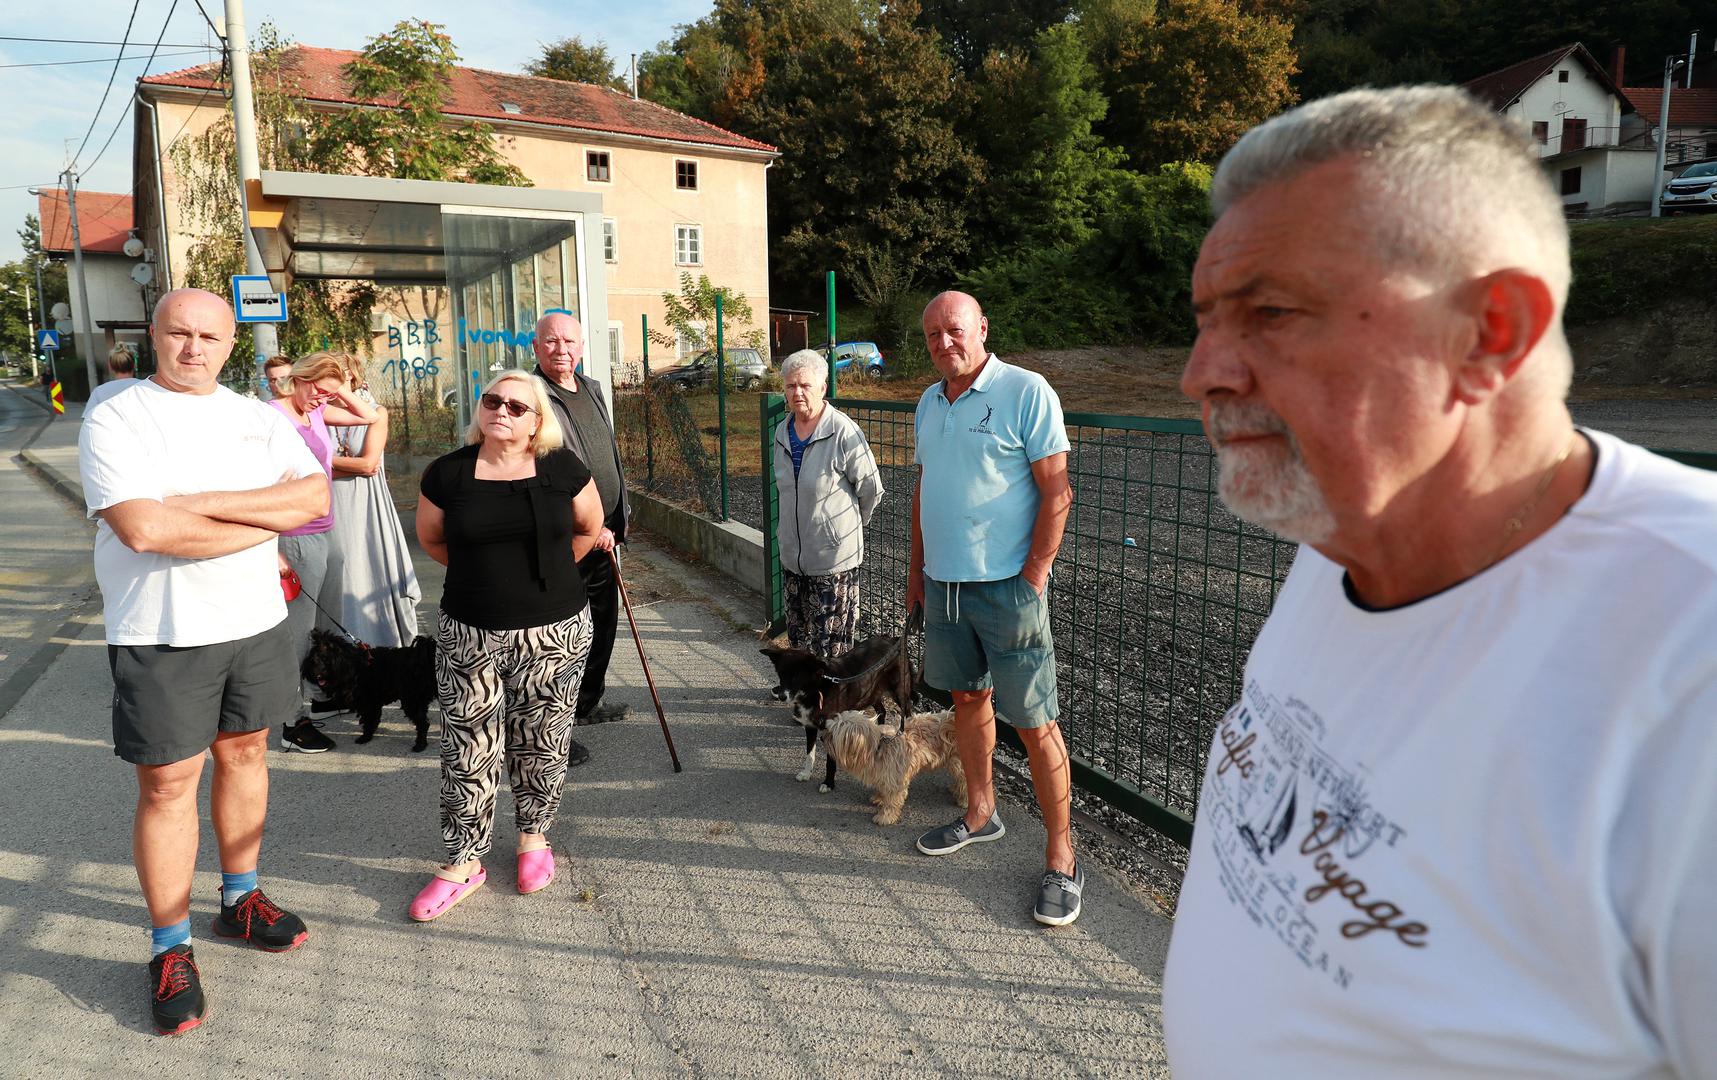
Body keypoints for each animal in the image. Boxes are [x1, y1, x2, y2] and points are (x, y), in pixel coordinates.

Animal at [302, 624, 436, 748]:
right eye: (311, 659)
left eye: (325, 659)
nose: (311, 672)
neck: (354, 666)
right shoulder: (372, 703)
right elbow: (373, 720)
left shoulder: (368, 702)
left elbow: (369, 720)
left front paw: (365, 737)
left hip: (412, 699)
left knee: (423, 723)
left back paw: (420, 745)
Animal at [758, 607, 920, 793]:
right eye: (781, 674)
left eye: (797, 676)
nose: (782, 696)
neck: (815, 689)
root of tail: (894, 639)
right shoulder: (810, 726)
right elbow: (809, 753)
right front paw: (806, 773)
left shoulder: (832, 729)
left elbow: (830, 761)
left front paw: (828, 783)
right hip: (869, 692)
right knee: (882, 710)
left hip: (900, 693)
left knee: (908, 714)